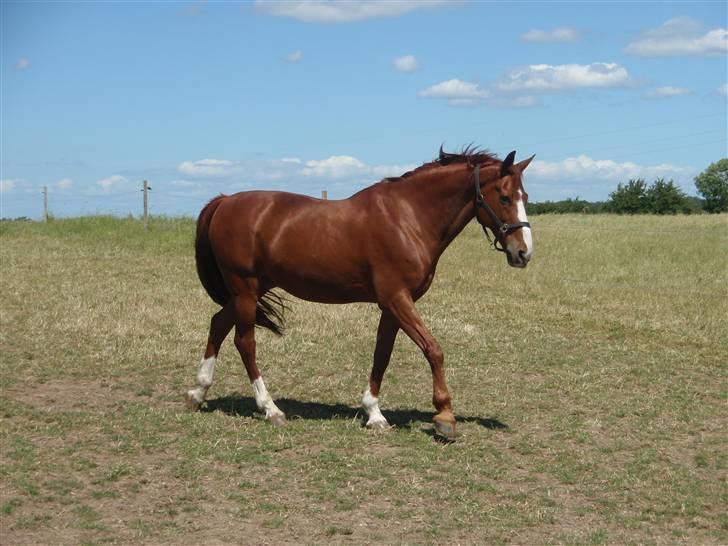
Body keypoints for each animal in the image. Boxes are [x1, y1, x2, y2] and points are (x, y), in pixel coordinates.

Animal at [185, 146, 532, 438]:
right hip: (244, 289)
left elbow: (382, 354)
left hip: (250, 291)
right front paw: (444, 417)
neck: (408, 217)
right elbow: (433, 349)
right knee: (245, 343)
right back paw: (270, 409)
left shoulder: (392, 305)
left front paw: (374, 413)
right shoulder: (397, 298)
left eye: (525, 196)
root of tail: (225, 201)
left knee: (218, 323)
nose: (524, 253)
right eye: (504, 197)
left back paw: (198, 393)